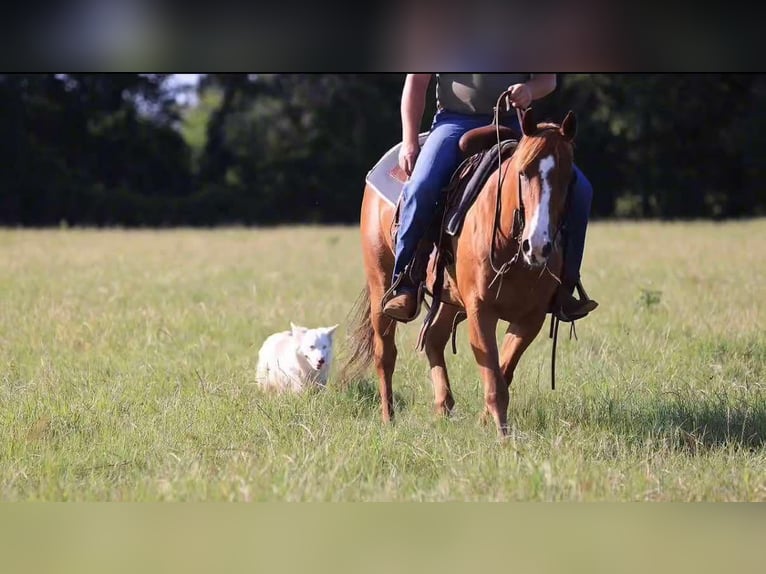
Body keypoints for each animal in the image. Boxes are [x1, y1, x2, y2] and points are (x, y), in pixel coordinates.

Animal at [340, 103, 577, 437]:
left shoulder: (531, 318)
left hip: (450, 299)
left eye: (569, 178)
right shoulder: (480, 310)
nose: (539, 245)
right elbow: (494, 378)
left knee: (434, 338)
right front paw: (503, 437)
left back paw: (443, 407)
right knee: (385, 354)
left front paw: (485, 423)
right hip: (381, 285)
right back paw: (389, 418)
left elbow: (503, 371)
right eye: (523, 171)